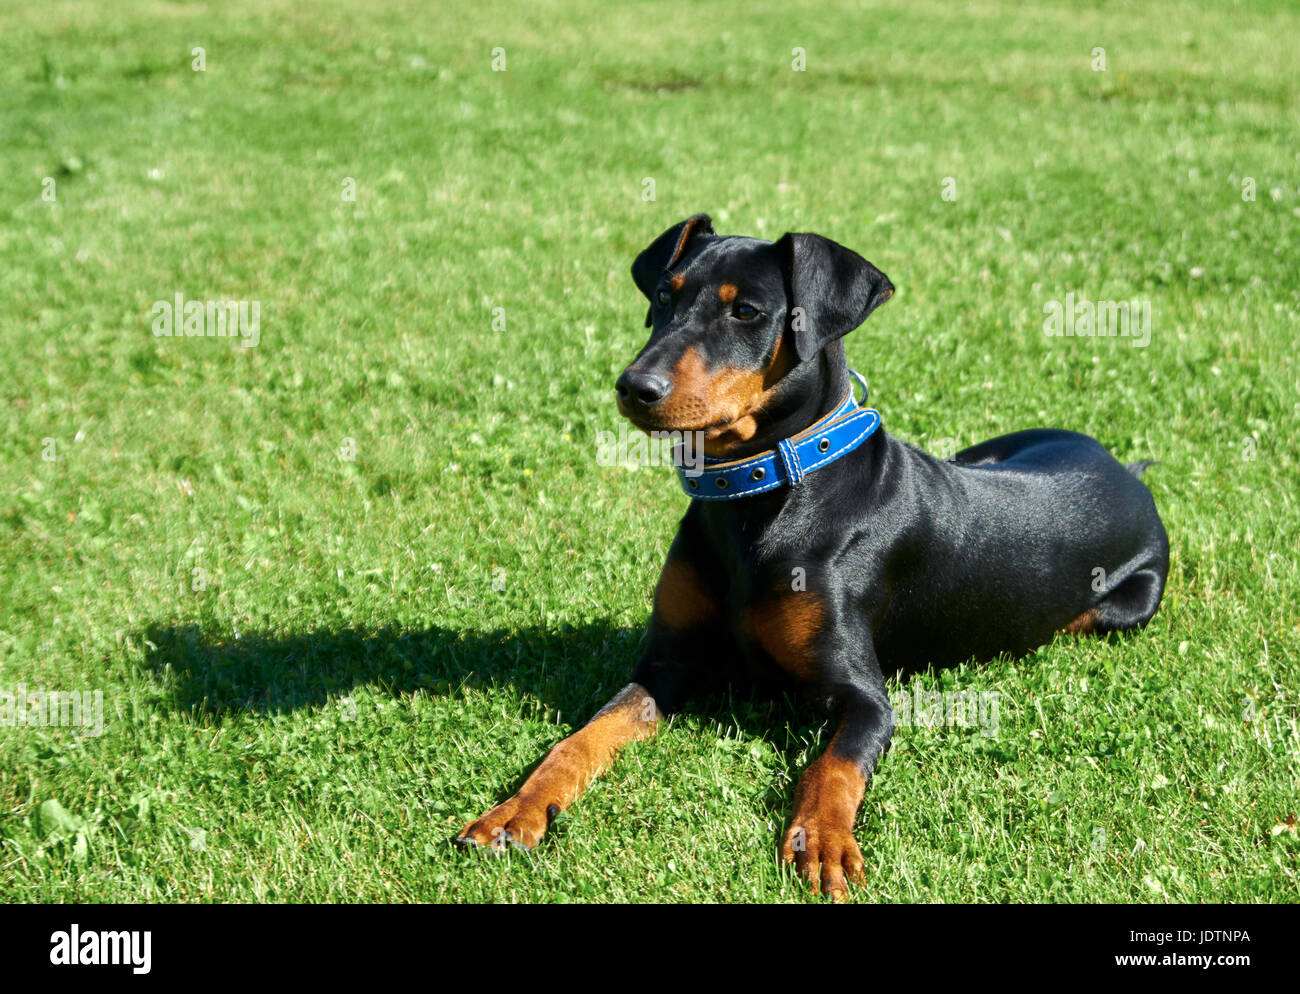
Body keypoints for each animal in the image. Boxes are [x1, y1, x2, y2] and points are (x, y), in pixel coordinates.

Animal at [462, 215, 1175, 899]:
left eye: (747, 311)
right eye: (664, 297)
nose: (635, 386)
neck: (758, 494)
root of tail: (1124, 469)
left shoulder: (865, 698)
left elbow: (831, 767)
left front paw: (824, 843)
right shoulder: (667, 664)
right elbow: (580, 738)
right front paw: (514, 810)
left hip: (1129, 604)